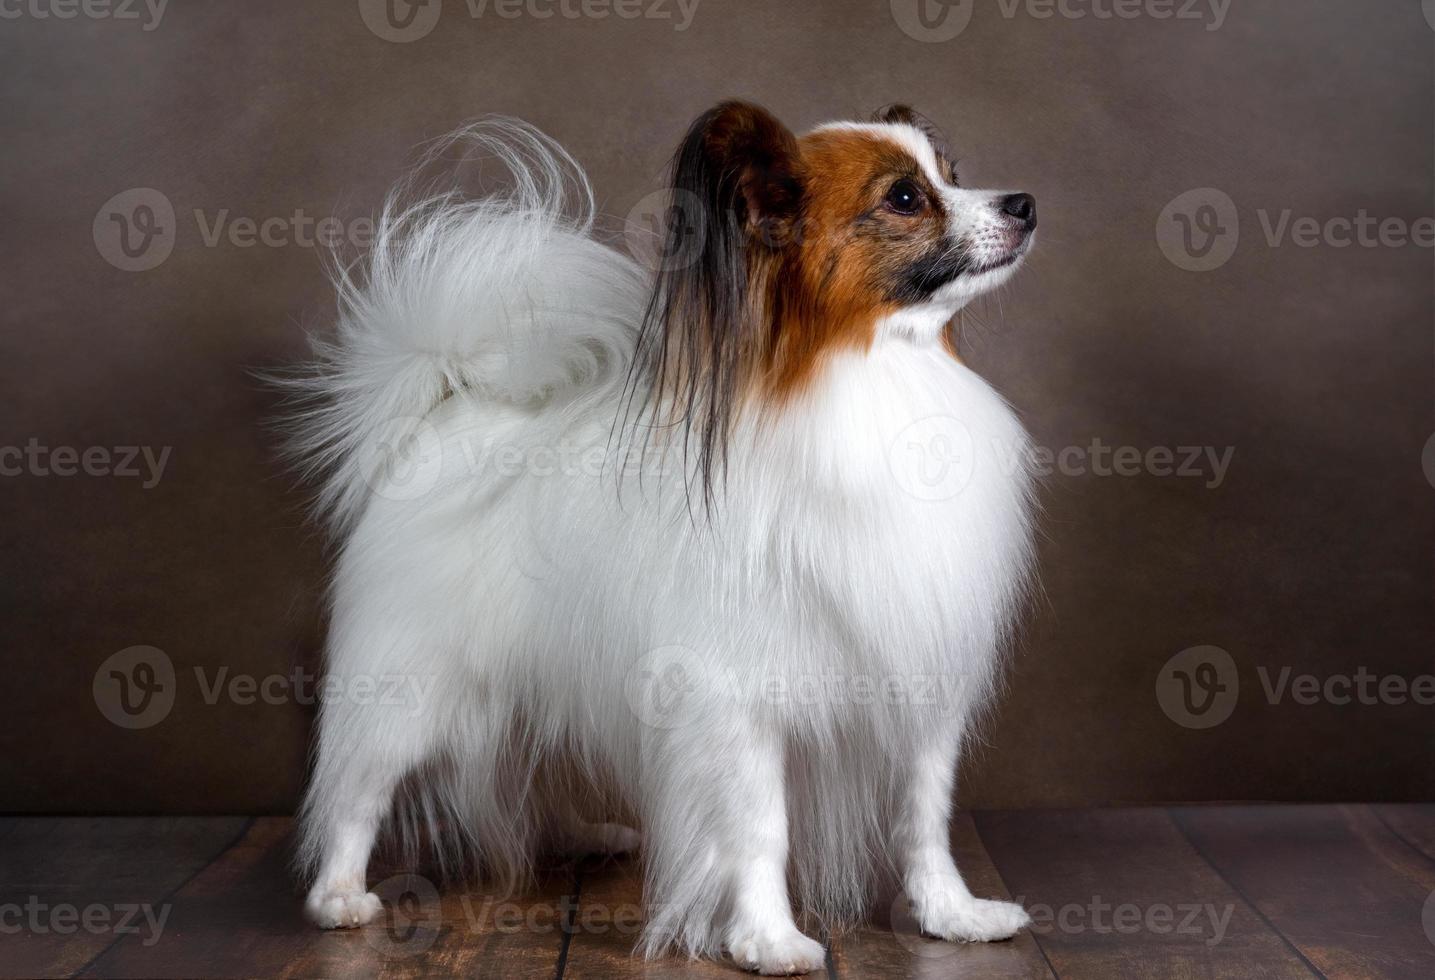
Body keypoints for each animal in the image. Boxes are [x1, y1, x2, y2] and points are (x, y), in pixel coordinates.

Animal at [285, 97, 1038, 975]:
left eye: (953, 174)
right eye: (906, 199)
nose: (1022, 204)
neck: (876, 376)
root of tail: (448, 405)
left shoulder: (920, 682)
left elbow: (925, 820)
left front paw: (952, 915)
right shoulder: (738, 700)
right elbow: (758, 828)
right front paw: (769, 940)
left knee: (530, 767)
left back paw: (583, 832)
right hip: (413, 685)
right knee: (357, 791)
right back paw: (338, 897)